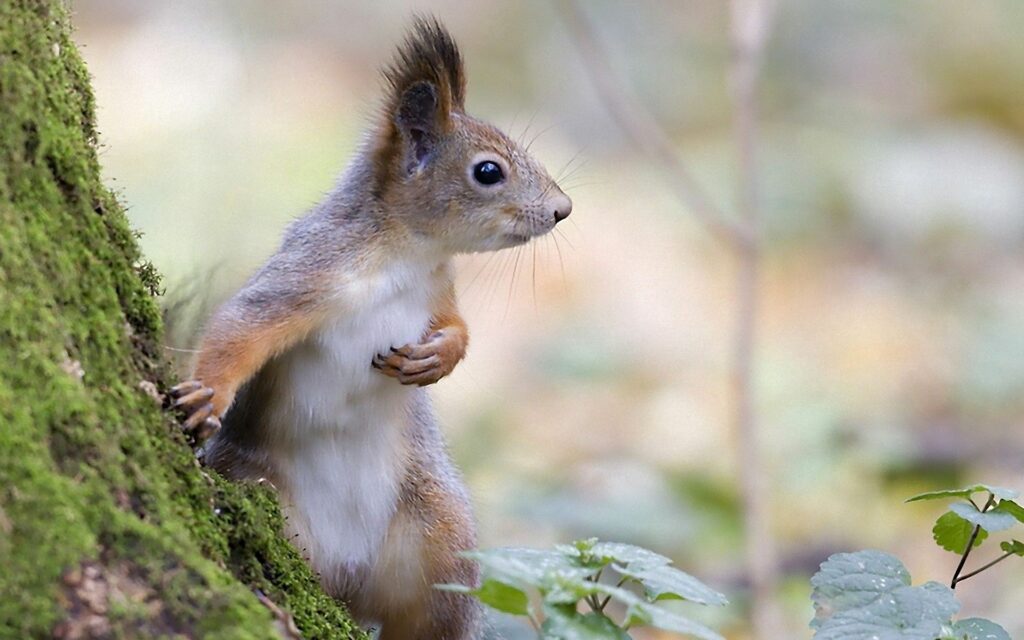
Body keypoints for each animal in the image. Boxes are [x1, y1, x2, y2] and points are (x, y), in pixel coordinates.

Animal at [168, 16, 571, 640]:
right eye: (488, 171)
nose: (562, 209)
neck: (404, 256)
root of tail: (349, 580)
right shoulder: (308, 273)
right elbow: (242, 325)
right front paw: (206, 395)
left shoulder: (438, 290)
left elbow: (457, 327)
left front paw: (436, 359)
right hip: (260, 488)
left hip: (440, 534)